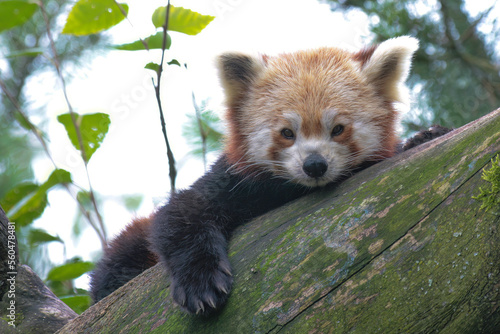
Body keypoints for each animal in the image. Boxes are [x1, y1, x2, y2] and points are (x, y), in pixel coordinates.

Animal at [89, 36, 450, 316]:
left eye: (338, 129)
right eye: (287, 133)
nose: (315, 165)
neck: (296, 190)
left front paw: (425, 137)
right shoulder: (233, 180)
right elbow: (181, 214)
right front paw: (201, 284)